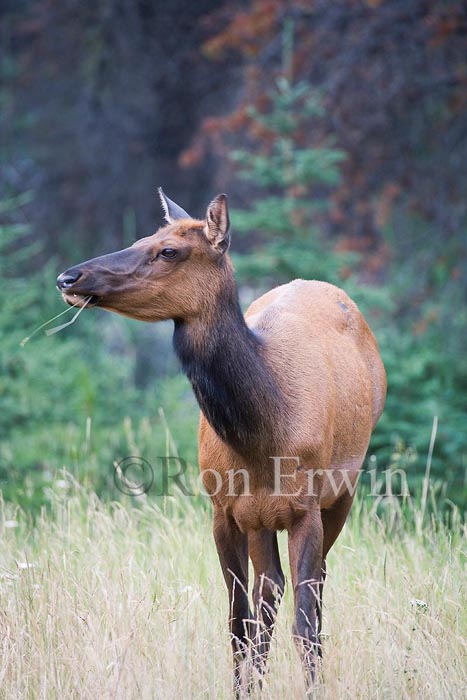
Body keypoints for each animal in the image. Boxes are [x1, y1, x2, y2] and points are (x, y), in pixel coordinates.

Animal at [56, 190, 386, 695]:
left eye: (169, 251)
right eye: (142, 237)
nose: (69, 277)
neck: (264, 437)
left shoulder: (307, 507)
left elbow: (304, 625)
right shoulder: (224, 510)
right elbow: (237, 623)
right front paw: (242, 690)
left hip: (342, 492)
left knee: (313, 589)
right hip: (262, 520)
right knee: (269, 591)